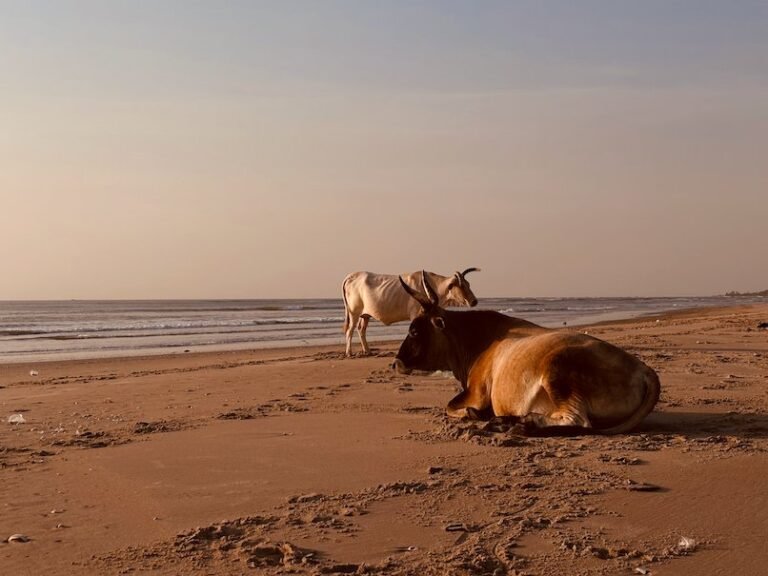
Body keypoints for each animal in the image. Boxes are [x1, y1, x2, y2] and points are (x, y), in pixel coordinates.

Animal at [342, 268, 480, 357]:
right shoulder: (416, 314)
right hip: (353, 312)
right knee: (350, 330)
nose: (474, 301)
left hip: (365, 315)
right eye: (462, 286)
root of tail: (351, 276)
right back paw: (349, 353)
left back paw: (368, 351)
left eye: (468, 284)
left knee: (361, 329)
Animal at [392, 272, 660, 435]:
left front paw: (473, 414)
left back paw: (522, 423)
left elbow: (451, 406)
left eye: (414, 330)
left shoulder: (476, 392)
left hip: (557, 369)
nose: (395, 363)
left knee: (577, 421)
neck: (476, 340)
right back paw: (506, 421)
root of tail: (644, 369)